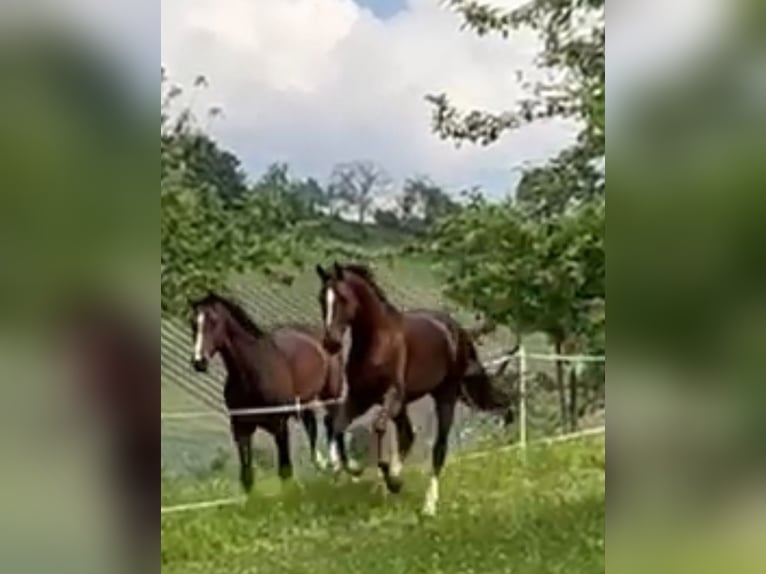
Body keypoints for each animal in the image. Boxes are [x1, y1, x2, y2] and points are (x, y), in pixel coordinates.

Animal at [190, 292, 346, 496]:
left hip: (331, 396)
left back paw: (337, 470)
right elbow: (247, 476)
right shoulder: (241, 429)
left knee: (334, 425)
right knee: (313, 426)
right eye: (193, 322)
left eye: (214, 321)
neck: (253, 372)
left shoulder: (280, 426)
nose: (198, 361)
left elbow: (285, 471)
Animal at [318, 264, 516, 516]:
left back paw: (428, 505)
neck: (377, 341)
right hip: (403, 404)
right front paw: (354, 468)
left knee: (438, 448)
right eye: (321, 299)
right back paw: (393, 481)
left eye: (343, 298)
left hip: (445, 396)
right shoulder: (360, 397)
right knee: (407, 435)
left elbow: (378, 427)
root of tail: (457, 330)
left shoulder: (392, 395)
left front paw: (391, 481)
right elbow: (338, 426)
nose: (331, 343)